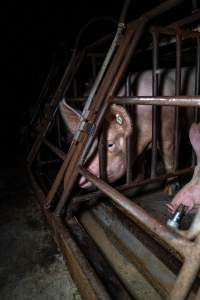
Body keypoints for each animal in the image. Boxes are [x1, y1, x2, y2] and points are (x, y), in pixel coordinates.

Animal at [59, 69, 195, 189]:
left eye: (110, 144)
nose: (80, 180)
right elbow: (140, 161)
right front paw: (137, 181)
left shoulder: (168, 131)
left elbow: (169, 160)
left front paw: (170, 189)